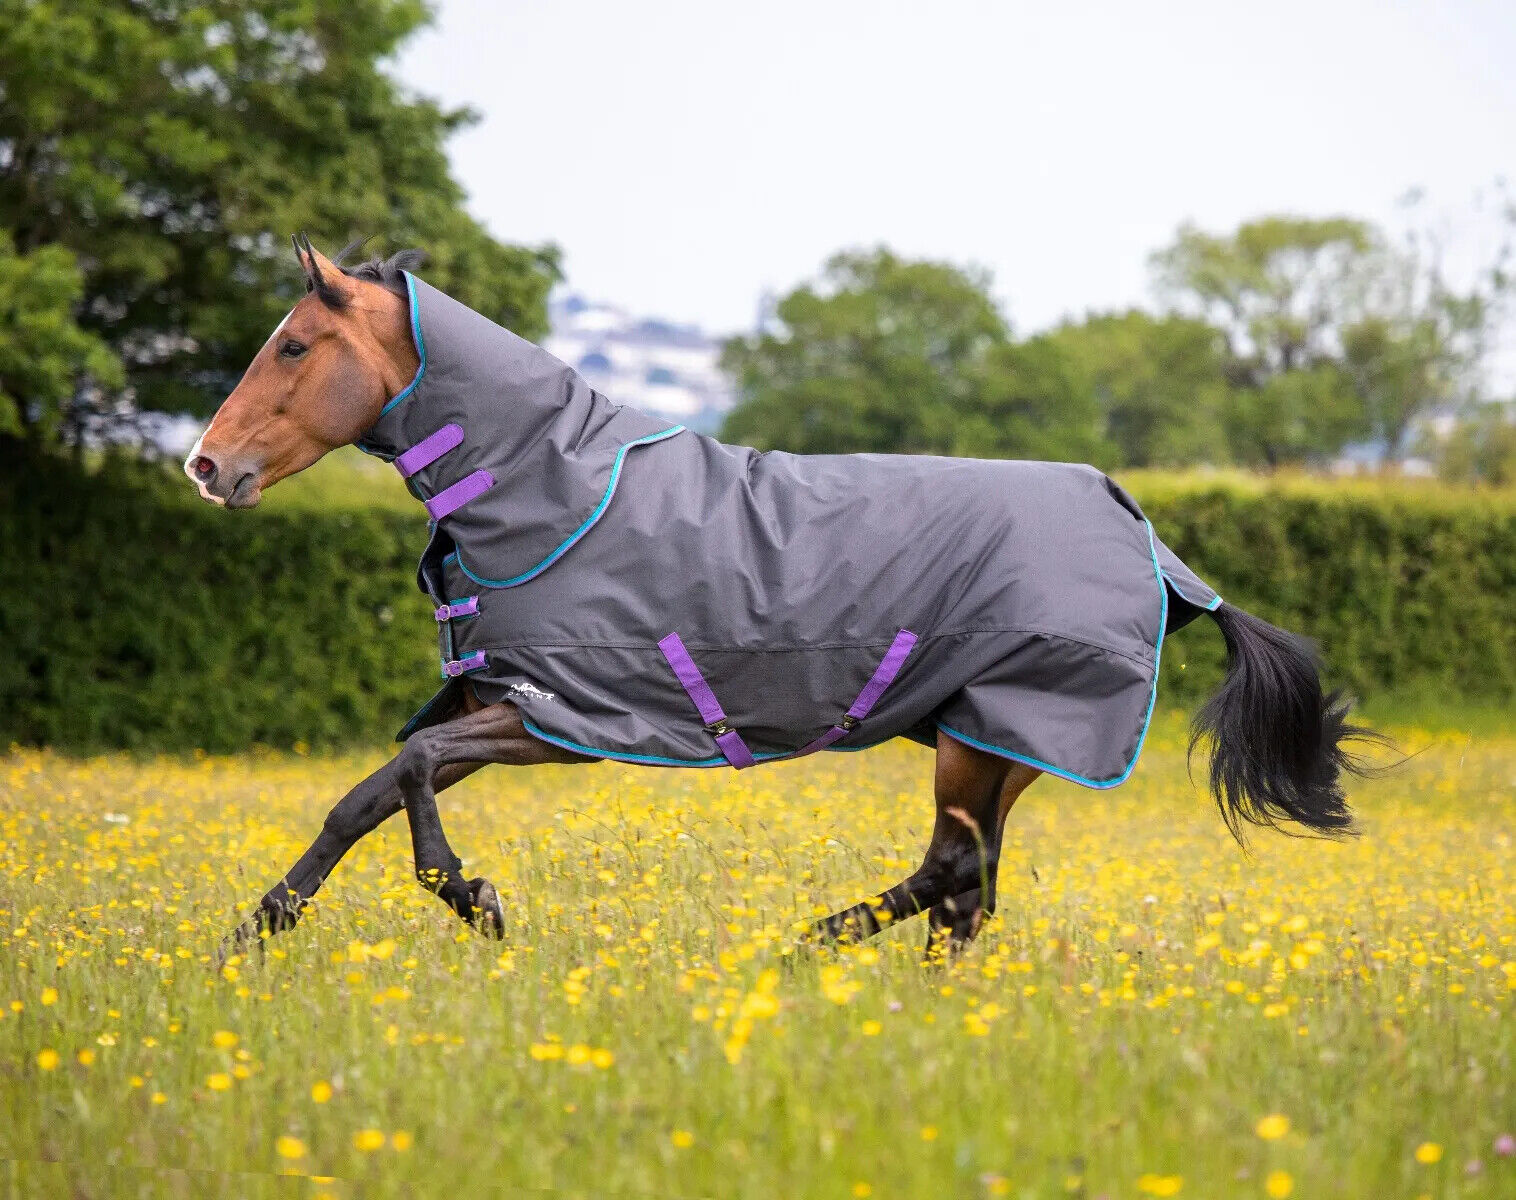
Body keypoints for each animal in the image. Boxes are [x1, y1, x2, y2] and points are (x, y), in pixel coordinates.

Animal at [188, 236, 1378, 955]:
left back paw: (802, 949)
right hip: (991, 740)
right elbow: (367, 792)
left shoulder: (563, 719)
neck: (551, 488)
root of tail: (1149, 541)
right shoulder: (501, 704)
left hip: (992, 735)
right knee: (966, 885)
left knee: (954, 869)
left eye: (293, 345)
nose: (206, 466)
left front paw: (471, 899)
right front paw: (255, 931)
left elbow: (414, 769)